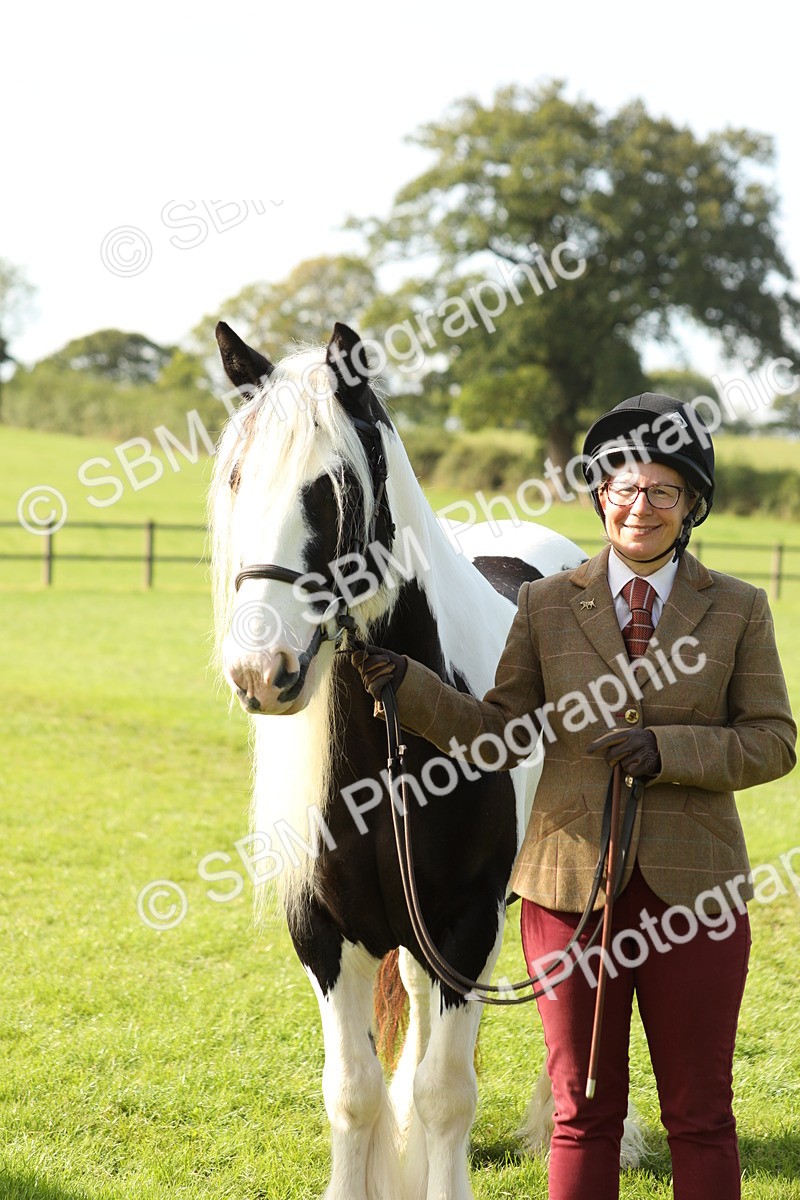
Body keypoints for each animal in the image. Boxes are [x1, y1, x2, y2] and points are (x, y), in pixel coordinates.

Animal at [208, 319, 635, 1199]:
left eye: (333, 489)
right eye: (236, 478)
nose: (261, 672)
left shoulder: (467, 926)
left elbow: (447, 1094)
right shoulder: (325, 934)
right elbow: (353, 1092)